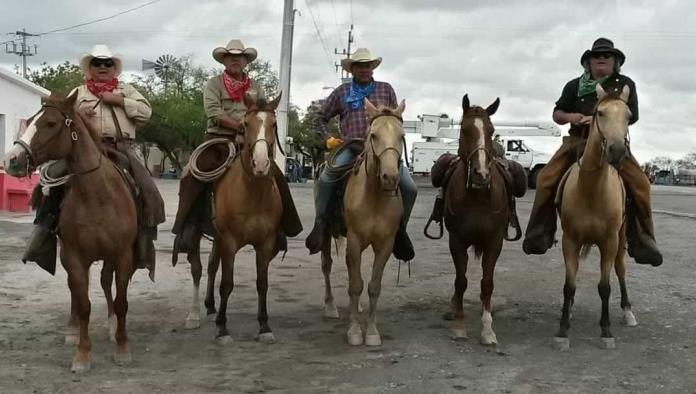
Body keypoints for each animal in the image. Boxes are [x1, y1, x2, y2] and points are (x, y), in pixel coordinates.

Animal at [5, 93, 139, 372]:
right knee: (76, 292)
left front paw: (122, 348)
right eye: (30, 121)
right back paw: (73, 330)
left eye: (51, 123)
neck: (97, 195)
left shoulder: (122, 255)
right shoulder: (74, 257)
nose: (11, 159)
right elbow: (84, 304)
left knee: (105, 282)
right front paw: (82, 354)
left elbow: (121, 302)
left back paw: (111, 326)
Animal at [342, 97, 406, 344]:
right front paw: (353, 331)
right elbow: (355, 285)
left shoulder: (385, 244)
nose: (390, 178)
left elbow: (373, 286)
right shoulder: (354, 240)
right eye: (374, 135)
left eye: (402, 136)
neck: (374, 198)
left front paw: (371, 331)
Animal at [430, 94, 528, 344]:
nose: (481, 173)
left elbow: (487, 283)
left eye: (491, 130)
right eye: (464, 130)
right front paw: (459, 325)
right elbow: (461, 281)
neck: (478, 197)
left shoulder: (494, 242)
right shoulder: (456, 241)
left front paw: (487, 329)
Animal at [552, 84, 640, 350]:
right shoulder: (570, 241)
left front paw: (606, 331)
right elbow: (569, 286)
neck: (591, 190)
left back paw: (627, 311)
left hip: (620, 241)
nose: (618, 151)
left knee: (620, 270)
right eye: (600, 113)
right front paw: (563, 330)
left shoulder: (609, 242)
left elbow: (604, 287)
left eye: (628, 116)